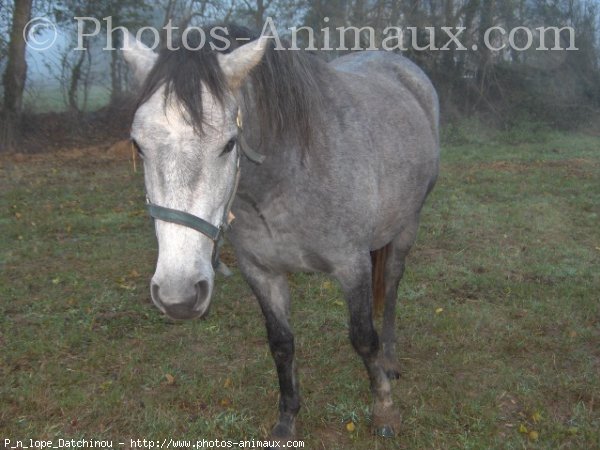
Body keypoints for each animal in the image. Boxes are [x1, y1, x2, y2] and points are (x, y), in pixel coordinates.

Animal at [123, 23, 440, 440]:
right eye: (138, 146)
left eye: (229, 144)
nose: (179, 296)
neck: (289, 176)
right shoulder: (261, 272)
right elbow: (281, 343)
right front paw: (287, 419)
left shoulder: (352, 266)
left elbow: (362, 338)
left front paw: (384, 409)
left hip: (407, 226)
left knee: (390, 285)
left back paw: (389, 360)